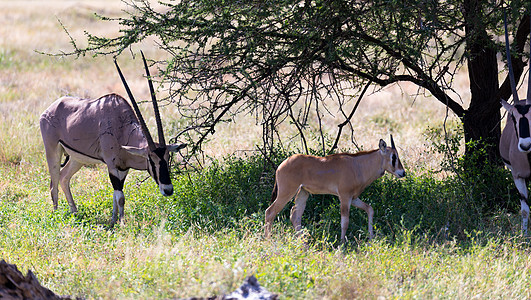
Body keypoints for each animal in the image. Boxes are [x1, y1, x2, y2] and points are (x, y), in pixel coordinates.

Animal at [39, 52, 186, 224]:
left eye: (168, 157)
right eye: (151, 159)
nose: (168, 190)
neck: (121, 129)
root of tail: (49, 109)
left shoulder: (123, 168)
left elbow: (117, 195)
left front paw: (114, 220)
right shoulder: (112, 166)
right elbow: (120, 197)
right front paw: (121, 223)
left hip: (77, 159)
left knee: (63, 178)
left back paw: (75, 212)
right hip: (53, 152)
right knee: (53, 183)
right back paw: (56, 216)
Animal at [264, 136, 406, 241]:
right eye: (393, 157)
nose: (403, 173)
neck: (358, 166)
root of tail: (282, 165)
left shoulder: (353, 198)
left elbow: (369, 209)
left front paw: (371, 239)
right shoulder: (344, 197)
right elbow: (345, 222)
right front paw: (342, 244)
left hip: (303, 193)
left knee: (295, 215)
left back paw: (303, 244)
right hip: (286, 193)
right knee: (270, 212)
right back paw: (268, 241)